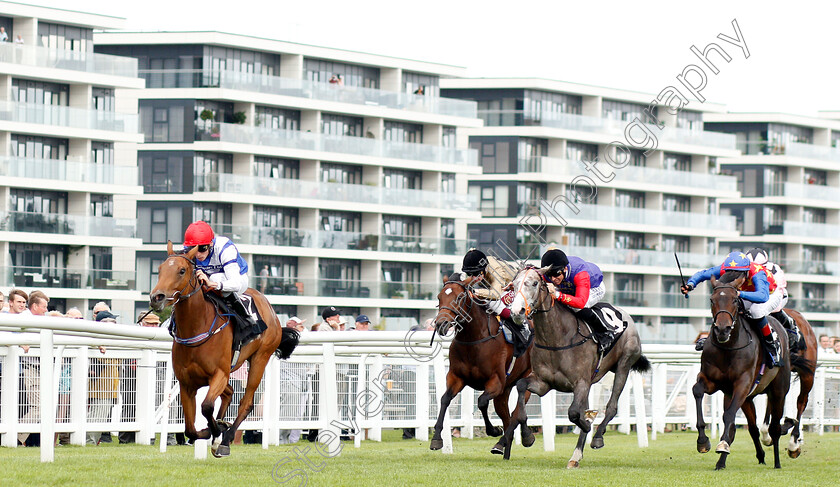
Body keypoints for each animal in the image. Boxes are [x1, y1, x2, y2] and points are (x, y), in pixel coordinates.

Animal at [149, 242, 300, 460]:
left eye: (182, 270)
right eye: (159, 270)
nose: (156, 298)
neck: (197, 326)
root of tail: (270, 307)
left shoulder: (219, 374)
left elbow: (206, 407)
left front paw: (216, 433)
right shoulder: (187, 383)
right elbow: (190, 429)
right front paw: (211, 431)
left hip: (260, 358)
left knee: (246, 402)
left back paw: (226, 439)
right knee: (229, 393)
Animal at [430, 274, 536, 458]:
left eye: (459, 297)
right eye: (439, 297)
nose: (441, 324)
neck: (474, 340)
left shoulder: (496, 382)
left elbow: (481, 401)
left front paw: (493, 430)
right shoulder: (456, 377)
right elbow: (445, 399)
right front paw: (436, 438)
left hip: (525, 378)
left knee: (518, 412)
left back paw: (526, 436)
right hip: (505, 391)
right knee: (508, 417)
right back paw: (503, 448)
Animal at [502, 266, 652, 468]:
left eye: (534, 283)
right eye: (514, 284)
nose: (517, 311)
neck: (557, 338)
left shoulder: (580, 383)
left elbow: (573, 413)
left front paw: (588, 424)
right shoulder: (543, 383)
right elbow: (520, 388)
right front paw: (527, 437)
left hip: (624, 365)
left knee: (612, 406)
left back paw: (596, 437)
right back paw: (576, 455)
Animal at [692, 272, 792, 470]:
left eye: (734, 300)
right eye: (712, 300)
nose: (722, 329)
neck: (728, 347)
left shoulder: (742, 384)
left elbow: (729, 415)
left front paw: (722, 445)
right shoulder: (710, 380)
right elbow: (697, 391)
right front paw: (703, 441)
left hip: (778, 392)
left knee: (775, 428)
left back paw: (777, 463)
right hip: (746, 399)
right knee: (752, 428)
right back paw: (747, 458)